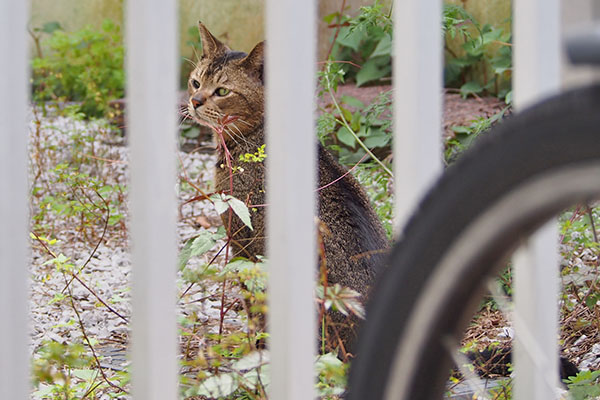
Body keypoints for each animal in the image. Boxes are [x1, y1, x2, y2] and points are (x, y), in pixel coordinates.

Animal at [185, 21, 390, 354]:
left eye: (222, 91)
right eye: (195, 82)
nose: (194, 101)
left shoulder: (242, 243)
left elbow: (252, 304)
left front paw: (255, 347)